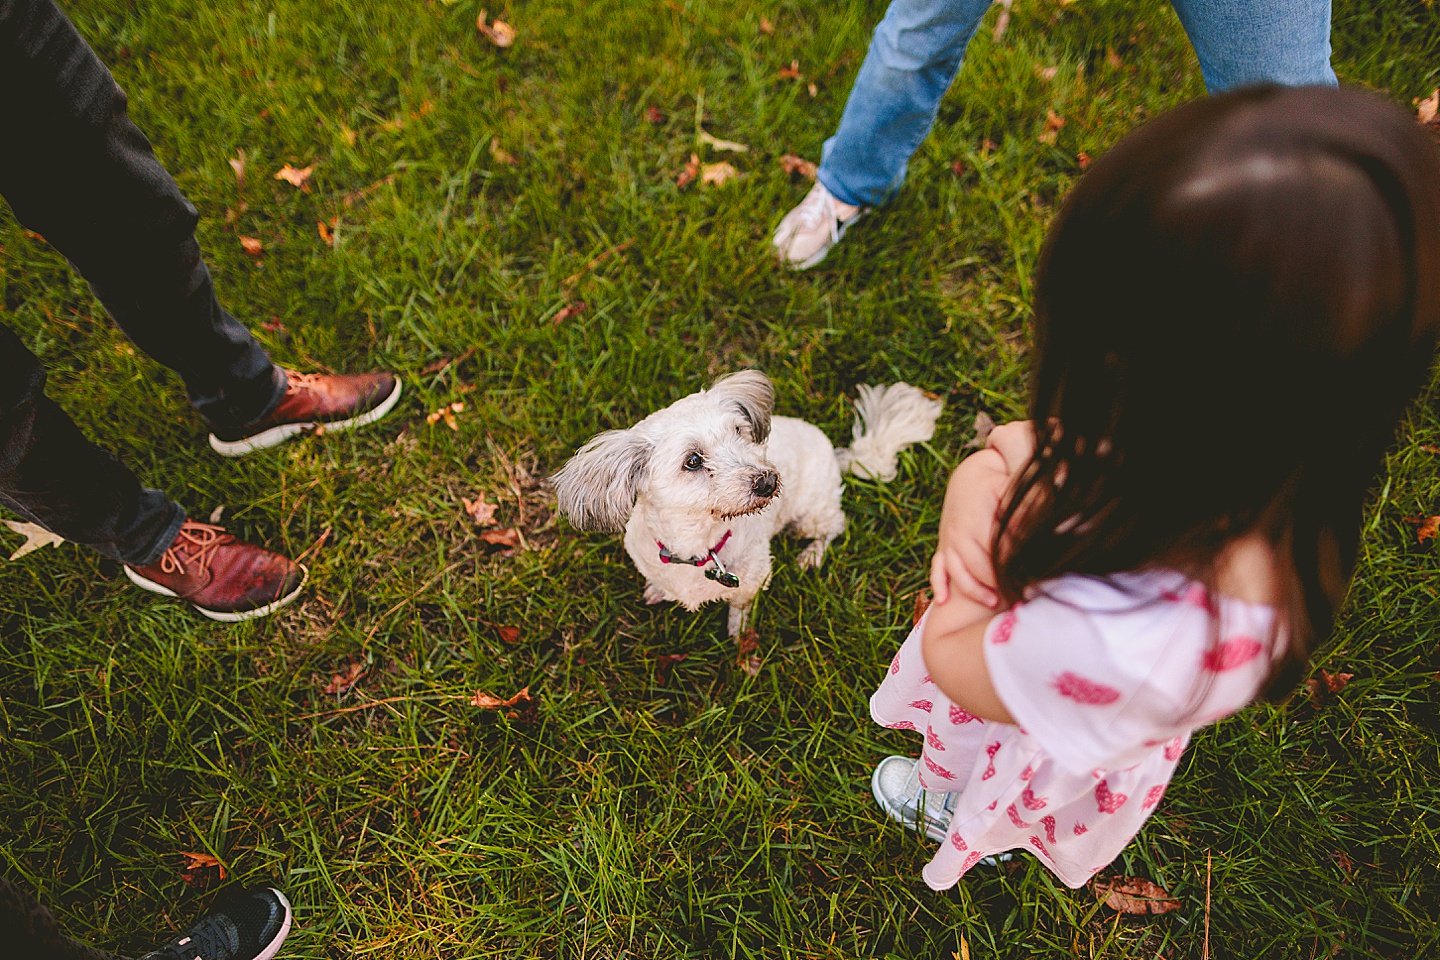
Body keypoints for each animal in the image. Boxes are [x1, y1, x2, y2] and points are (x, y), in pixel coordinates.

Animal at [550, 371, 944, 633]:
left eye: (739, 433)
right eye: (693, 461)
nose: (768, 482)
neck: (698, 545)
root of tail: (836, 452)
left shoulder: (753, 581)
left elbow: (740, 610)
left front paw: (739, 639)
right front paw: (659, 590)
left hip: (812, 512)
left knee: (834, 526)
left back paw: (811, 555)